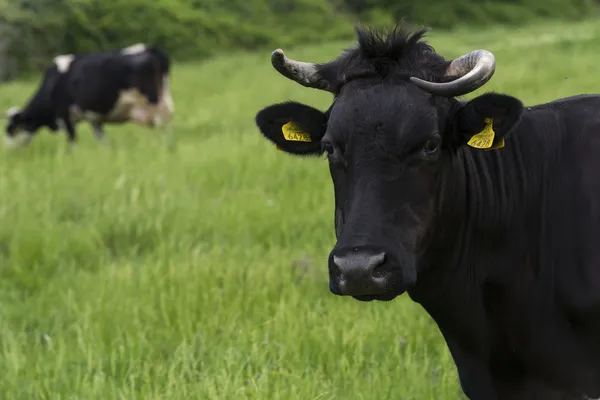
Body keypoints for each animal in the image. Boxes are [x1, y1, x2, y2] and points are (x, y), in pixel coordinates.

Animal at [2, 43, 175, 147]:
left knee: (162, 125)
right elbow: (102, 140)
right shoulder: (94, 119)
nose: (7, 152)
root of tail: (150, 48)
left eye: (11, 129)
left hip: (153, 102)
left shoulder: (65, 117)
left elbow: (72, 142)